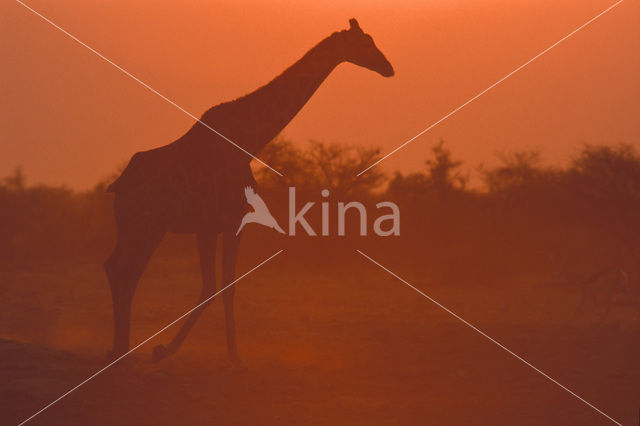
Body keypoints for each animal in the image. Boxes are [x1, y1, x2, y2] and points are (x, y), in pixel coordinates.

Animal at [104, 18, 396, 368]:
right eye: (365, 43)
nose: (388, 67)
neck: (250, 141)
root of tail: (119, 185)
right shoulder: (232, 219)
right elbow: (225, 285)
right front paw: (233, 358)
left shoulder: (209, 227)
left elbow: (210, 286)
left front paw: (166, 349)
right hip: (147, 225)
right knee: (125, 271)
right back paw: (121, 350)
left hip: (136, 226)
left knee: (116, 268)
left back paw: (119, 348)